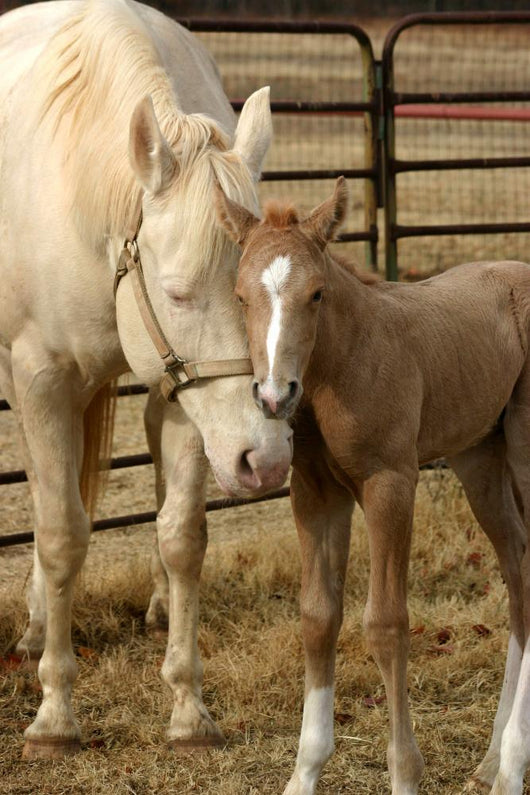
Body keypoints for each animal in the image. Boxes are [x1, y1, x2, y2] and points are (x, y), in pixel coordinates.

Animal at [0, 0, 293, 759]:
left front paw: (188, 706)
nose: (266, 459)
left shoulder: (187, 395)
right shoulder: (42, 379)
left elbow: (182, 536)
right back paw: (38, 626)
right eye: (178, 293)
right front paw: (54, 714)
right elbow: (61, 531)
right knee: (44, 494)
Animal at [215, 177, 530, 795]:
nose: (274, 396)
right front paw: (304, 773)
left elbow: (386, 623)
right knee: (519, 577)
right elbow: (318, 617)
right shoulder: (316, 494)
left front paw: (405, 773)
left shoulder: (391, 484)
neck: (342, 364)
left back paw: (510, 765)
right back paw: (492, 763)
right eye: (240, 296)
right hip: (481, 460)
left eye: (316, 294)